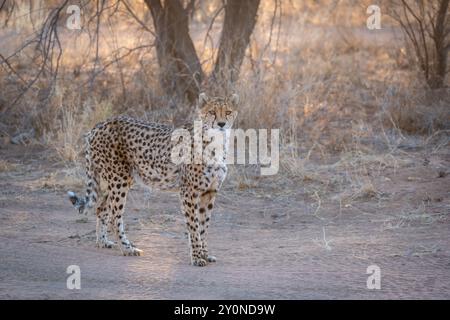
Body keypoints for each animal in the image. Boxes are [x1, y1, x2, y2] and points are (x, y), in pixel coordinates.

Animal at [67, 93, 239, 268]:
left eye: (228, 112)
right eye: (212, 112)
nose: (221, 124)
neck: (216, 142)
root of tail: (99, 125)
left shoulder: (209, 192)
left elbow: (204, 226)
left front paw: (205, 254)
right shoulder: (189, 192)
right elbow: (194, 226)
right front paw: (197, 256)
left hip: (116, 179)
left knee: (101, 208)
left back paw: (103, 242)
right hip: (119, 179)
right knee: (115, 216)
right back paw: (127, 248)